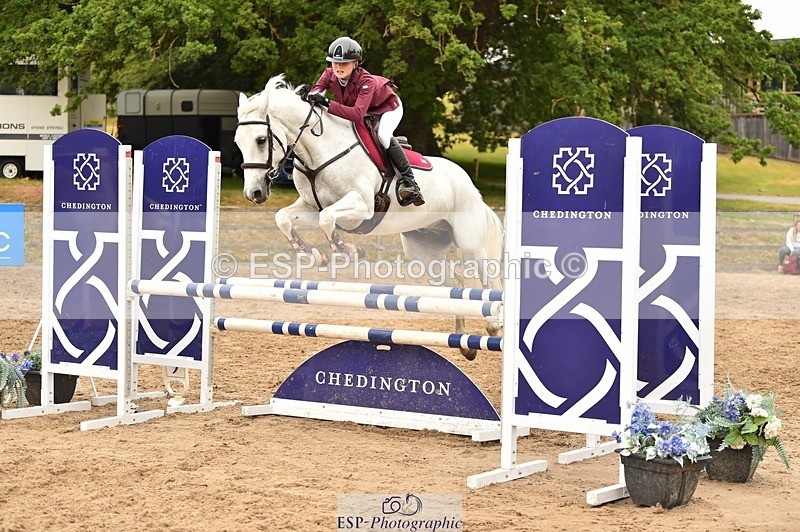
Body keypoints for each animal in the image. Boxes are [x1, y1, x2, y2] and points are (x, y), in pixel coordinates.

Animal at [234, 74, 504, 360]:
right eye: (238, 142)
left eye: (261, 140)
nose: (254, 193)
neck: (320, 151)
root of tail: (468, 183)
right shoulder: (310, 206)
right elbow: (284, 218)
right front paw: (313, 255)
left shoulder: (361, 207)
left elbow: (327, 219)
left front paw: (349, 252)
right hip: (424, 249)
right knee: (456, 284)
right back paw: (465, 344)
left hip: (470, 244)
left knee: (489, 279)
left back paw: (494, 325)